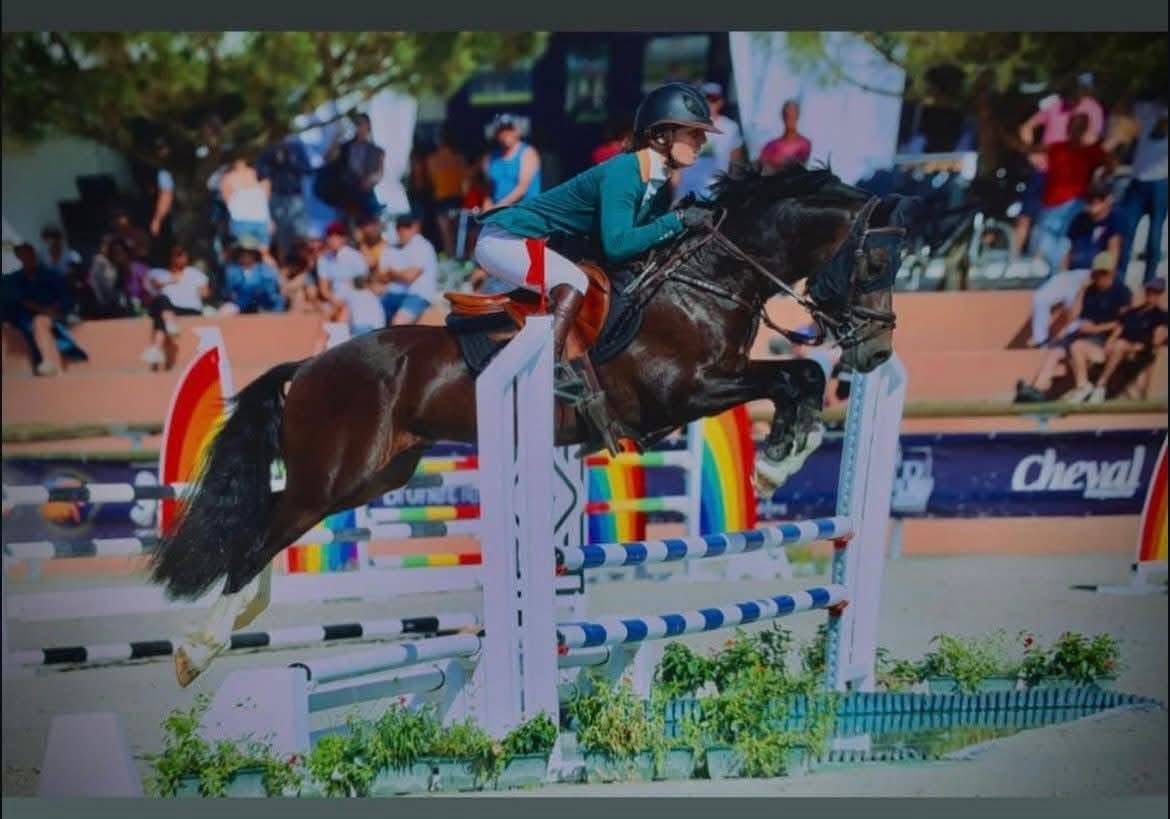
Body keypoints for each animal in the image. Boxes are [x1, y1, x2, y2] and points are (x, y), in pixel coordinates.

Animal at [150, 162, 916, 686]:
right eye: (876, 261)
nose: (877, 353)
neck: (707, 280)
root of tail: (308, 366)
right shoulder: (684, 393)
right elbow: (794, 374)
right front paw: (779, 460)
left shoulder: (713, 382)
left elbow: (803, 376)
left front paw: (784, 454)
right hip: (335, 475)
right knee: (258, 536)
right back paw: (197, 649)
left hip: (373, 475)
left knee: (269, 523)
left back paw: (237, 622)